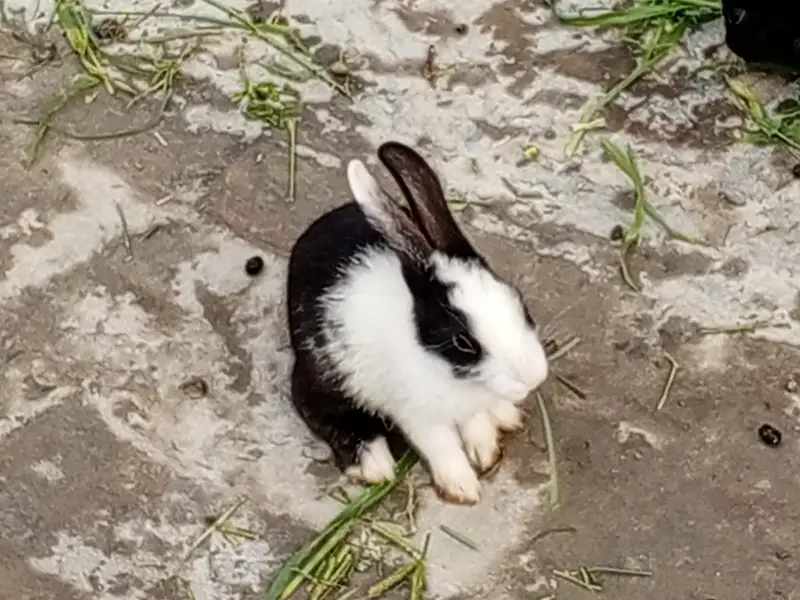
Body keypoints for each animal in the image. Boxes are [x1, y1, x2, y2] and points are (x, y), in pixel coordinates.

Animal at [286, 141, 549, 504]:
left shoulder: (469, 409)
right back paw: (373, 463)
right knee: (320, 410)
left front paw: (485, 452)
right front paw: (462, 487)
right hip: (326, 373)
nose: (534, 377)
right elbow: (441, 446)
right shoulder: (418, 414)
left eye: (520, 302)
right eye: (463, 343)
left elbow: (476, 425)